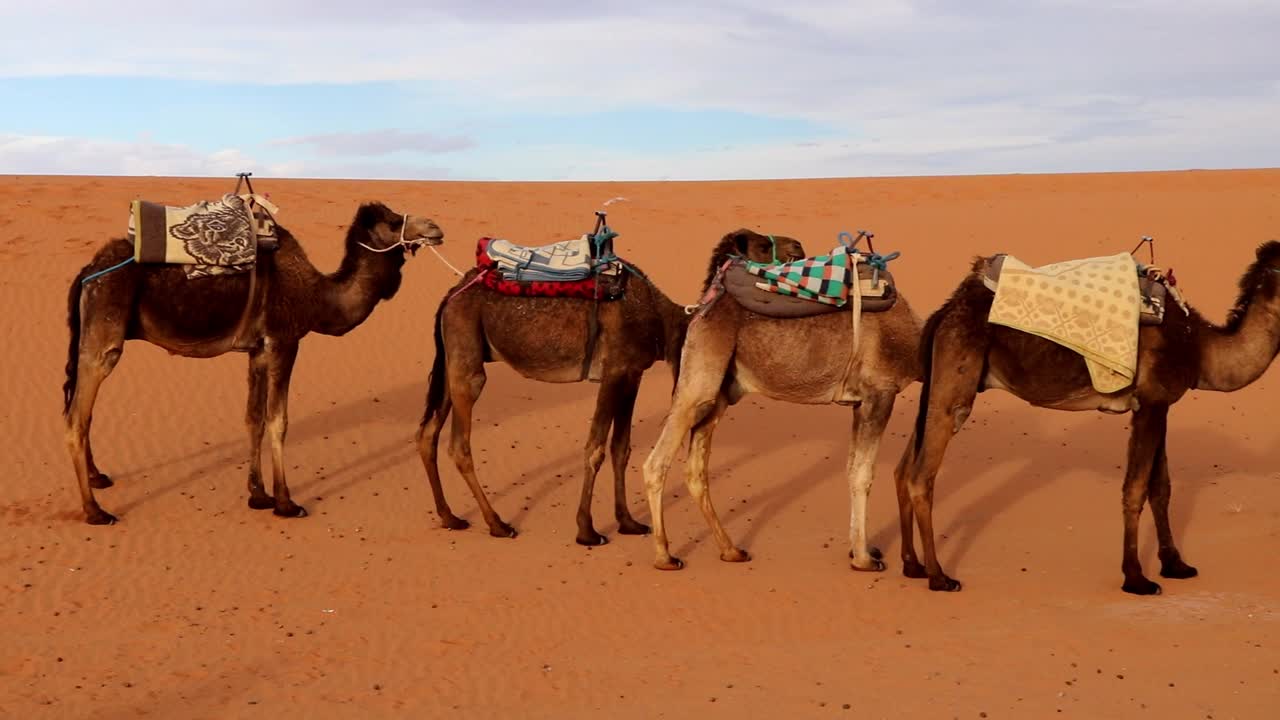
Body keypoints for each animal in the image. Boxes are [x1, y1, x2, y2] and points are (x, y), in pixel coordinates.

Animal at [63, 201, 444, 525]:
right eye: (393, 222)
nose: (435, 227)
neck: (315, 295)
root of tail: (88, 270)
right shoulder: (284, 342)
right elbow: (278, 421)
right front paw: (286, 502)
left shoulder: (258, 350)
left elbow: (254, 419)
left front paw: (258, 495)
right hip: (105, 330)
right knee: (75, 418)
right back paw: (95, 511)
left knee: (79, 406)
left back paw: (98, 478)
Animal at [416, 228, 804, 545]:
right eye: (761, 245)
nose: (798, 246)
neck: (664, 322)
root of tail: (450, 296)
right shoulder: (614, 370)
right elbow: (595, 448)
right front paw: (587, 530)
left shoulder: (632, 374)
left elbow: (622, 448)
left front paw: (628, 522)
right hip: (467, 354)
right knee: (459, 443)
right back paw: (497, 524)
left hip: (454, 355)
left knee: (428, 433)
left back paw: (450, 517)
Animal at [640, 237, 923, 571]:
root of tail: (702, 307)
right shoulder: (880, 393)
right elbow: (863, 475)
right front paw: (864, 559)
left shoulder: (860, 403)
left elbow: (852, 468)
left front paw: (859, 551)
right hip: (700, 379)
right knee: (657, 462)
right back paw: (665, 556)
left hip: (720, 390)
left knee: (696, 470)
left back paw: (731, 551)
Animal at [896, 241, 1280, 594]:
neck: (1198, 347)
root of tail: (945, 311)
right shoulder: (1152, 403)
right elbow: (1136, 488)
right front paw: (1136, 579)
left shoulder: (1159, 404)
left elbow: (1161, 487)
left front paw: (1176, 565)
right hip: (956, 382)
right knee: (921, 477)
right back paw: (939, 577)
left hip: (937, 381)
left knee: (902, 470)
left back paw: (912, 566)